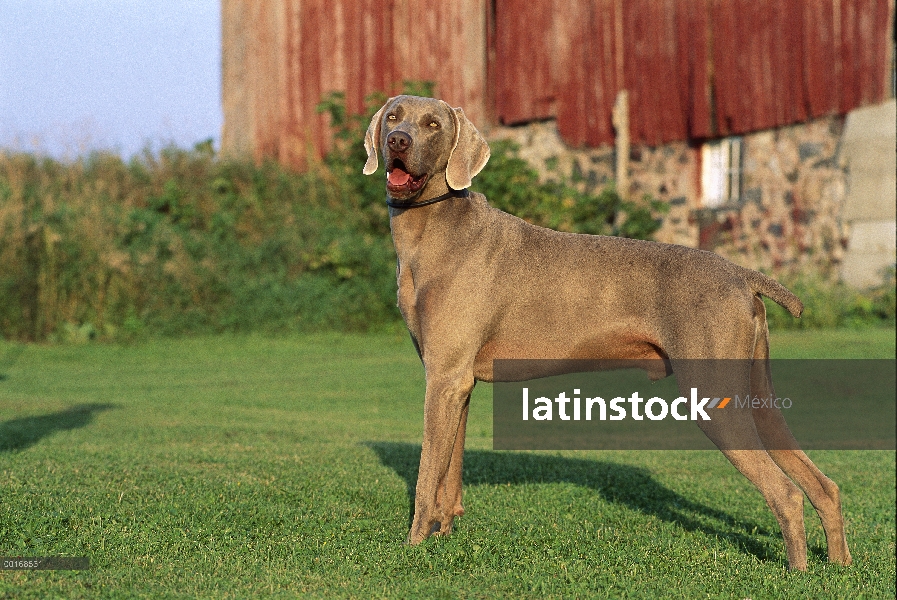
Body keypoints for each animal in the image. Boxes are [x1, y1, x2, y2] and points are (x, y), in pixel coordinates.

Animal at [362, 95, 848, 572]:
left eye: (432, 124)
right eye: (393, 116)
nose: (398, 140)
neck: (435, 228)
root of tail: (743, 275)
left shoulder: (445, 380)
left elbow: (427, 473)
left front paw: (413, 545)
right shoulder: (458, 381)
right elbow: (449, 473)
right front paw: (441, 535)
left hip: (714, 394)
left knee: (786, 492)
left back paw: (797, 573)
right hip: (756, 392)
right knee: (823, 486)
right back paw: (838, 565)